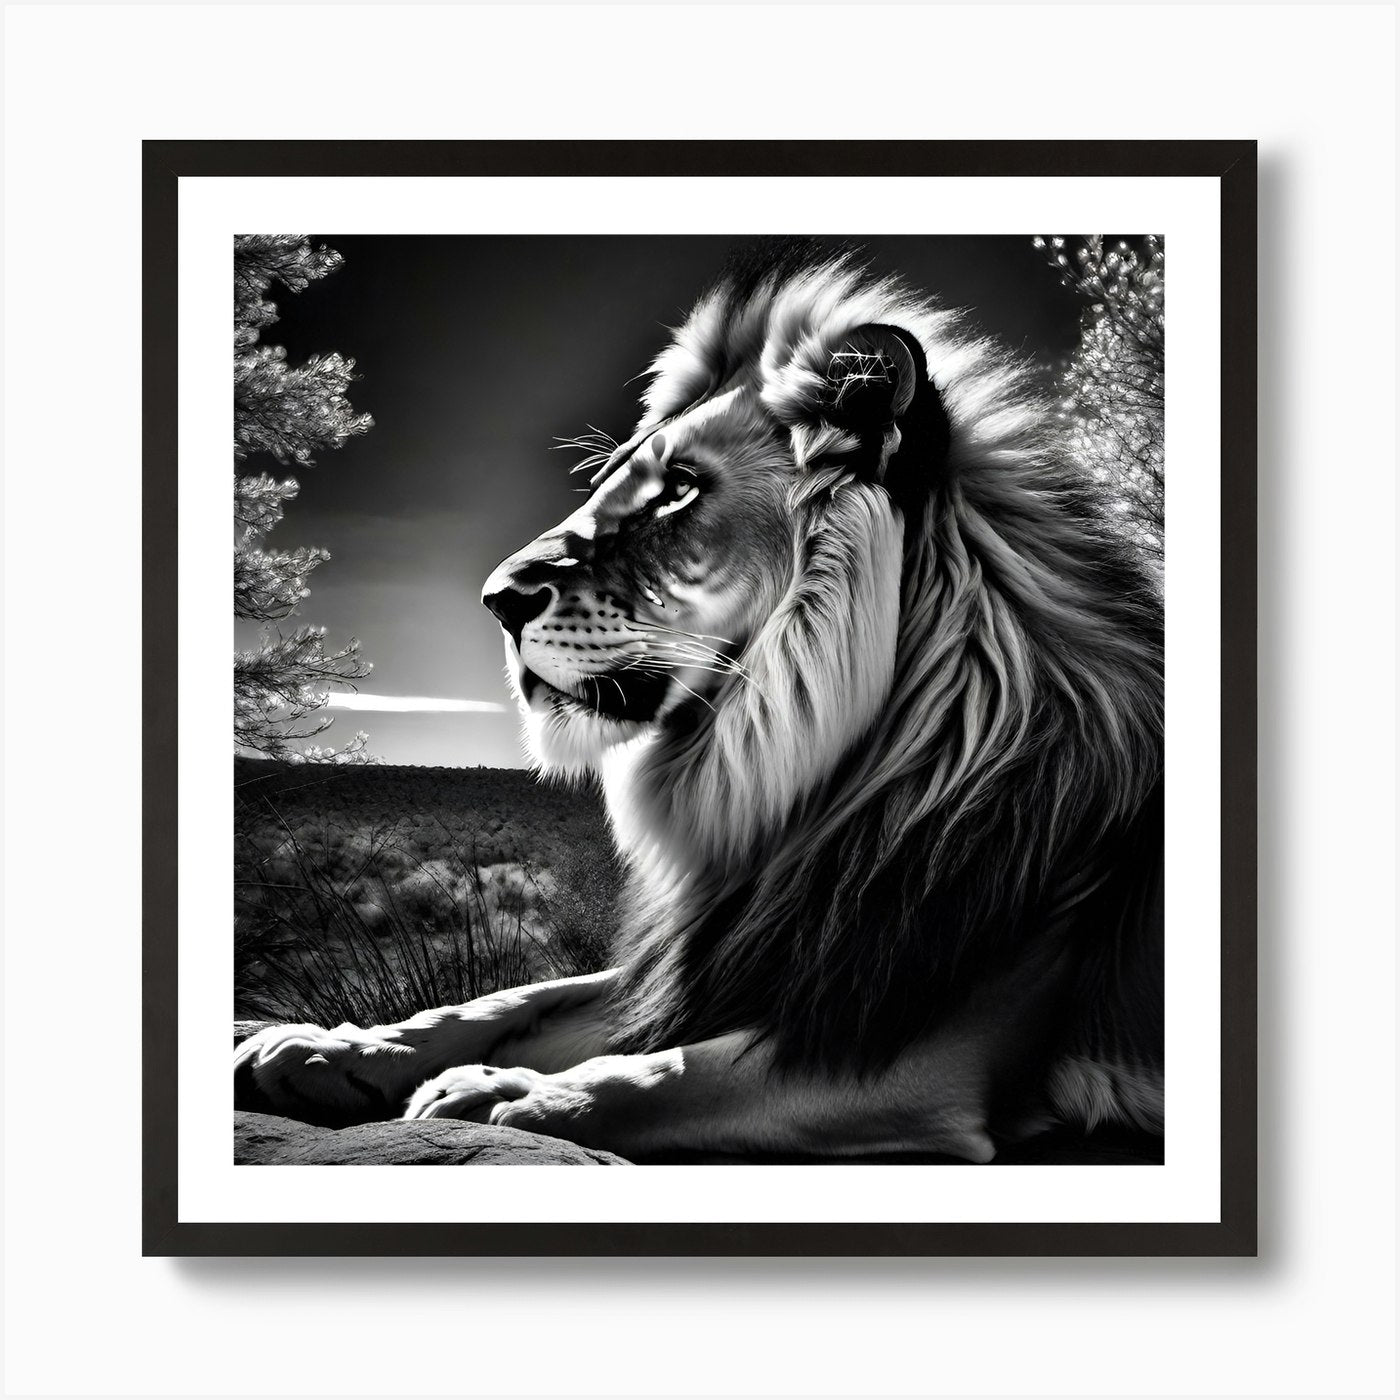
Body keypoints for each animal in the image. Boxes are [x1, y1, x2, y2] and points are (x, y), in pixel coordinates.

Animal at [235, 244, 1164, 1162]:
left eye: (679, 488)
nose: (498, 599)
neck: (794, 791)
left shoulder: (914, 1058)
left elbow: (665, 1074)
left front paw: (507, 1093)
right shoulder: (712, 960)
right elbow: (521, 996)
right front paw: (331, 1048)